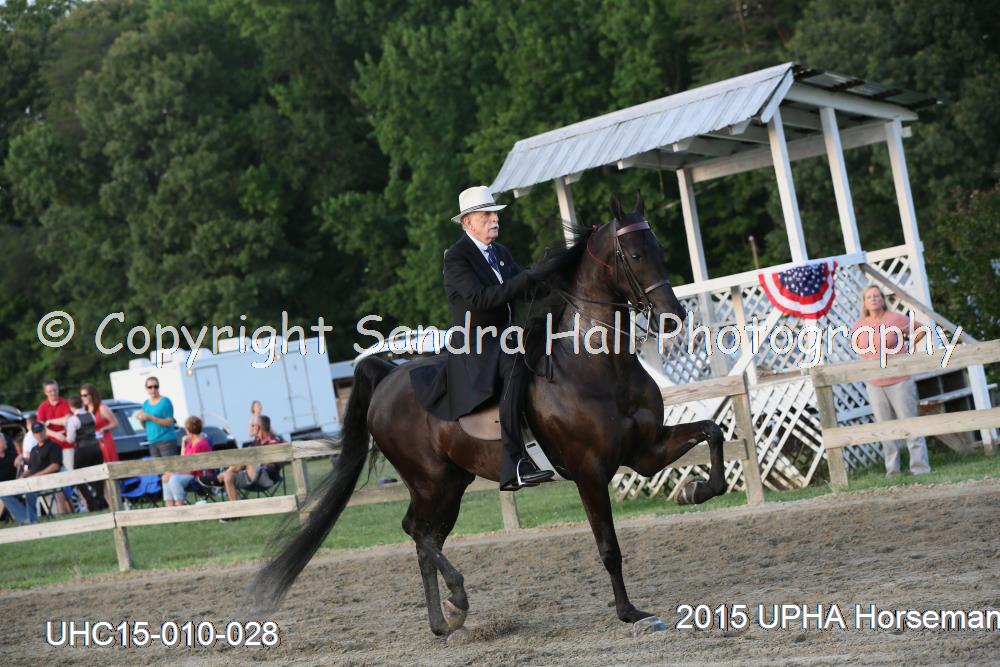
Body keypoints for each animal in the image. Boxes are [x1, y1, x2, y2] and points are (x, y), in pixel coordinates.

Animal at [252, 193, 728, 636]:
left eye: (659, 248)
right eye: (633, 255)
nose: (672, 317)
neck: (598, 366)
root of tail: (388, 374)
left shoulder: (644, 452)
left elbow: (713, 432)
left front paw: (693, 490)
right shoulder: (590, 471)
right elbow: (609, 546)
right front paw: (630, 613)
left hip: (452, 483)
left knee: (426, 537)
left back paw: (443, 622)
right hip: (430, 481)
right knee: (417, 531)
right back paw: (457, 598)